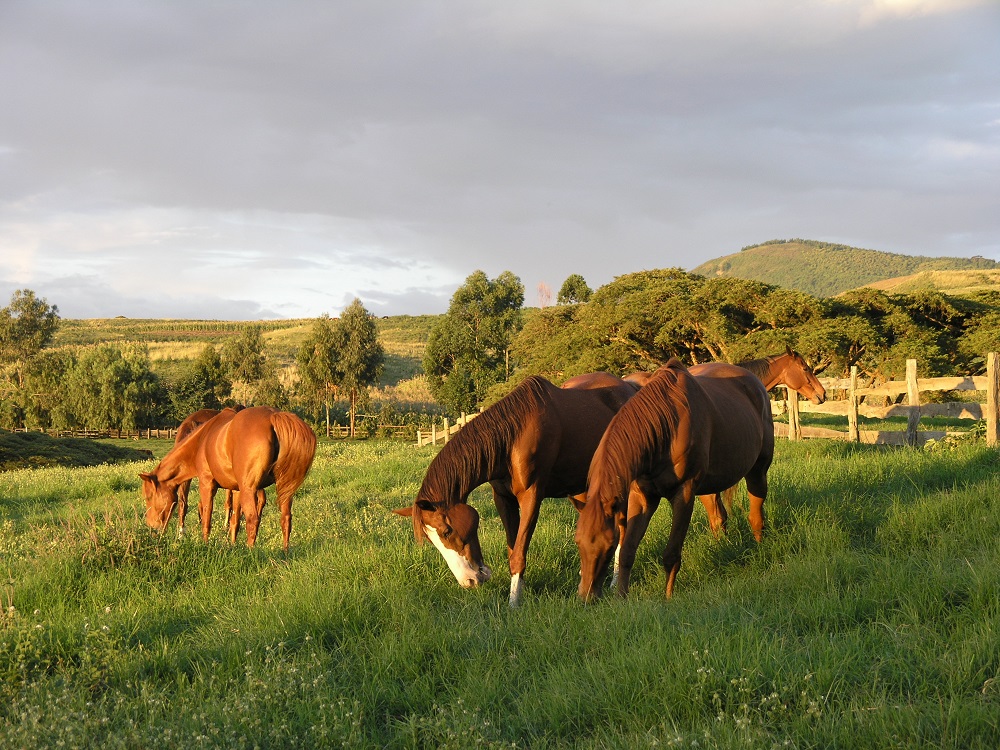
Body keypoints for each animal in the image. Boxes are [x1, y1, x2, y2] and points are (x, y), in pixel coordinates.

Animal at [139, 408, 314, 548]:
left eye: (149, 497)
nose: (151, 527)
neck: (201, 440)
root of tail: (273, 417)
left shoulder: (207, 483)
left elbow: (206, 516)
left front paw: (205, 544)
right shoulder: (236, 490)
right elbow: (234, 520)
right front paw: (232, 544)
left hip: (250, 490)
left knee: (253, 519)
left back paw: (250, 552)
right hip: (284, 489)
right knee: (286, 518)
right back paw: (285, 551)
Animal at [390, 376, 632, 612]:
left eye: (446, 531)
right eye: (431, 540)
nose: (469, 581)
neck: (513, 436)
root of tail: (628, 386)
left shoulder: (531, 497)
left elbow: (519, 554)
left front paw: (514, 603)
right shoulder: (503, 499)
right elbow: (512, 549)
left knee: (621, 531)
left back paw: (613, 581)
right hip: (580, 491)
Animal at [572, 362, 772, 604]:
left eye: (609, 546)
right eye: (577, 542)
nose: (587, 596)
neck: (665, 428)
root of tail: (755, 382)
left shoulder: (683, 494)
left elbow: (671, 554)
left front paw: (668, 597)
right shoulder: (643, 496)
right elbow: (628, 550)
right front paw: (621, 597)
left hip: (758, 471)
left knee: (756, 513)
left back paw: (759, 550)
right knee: (718, 517)